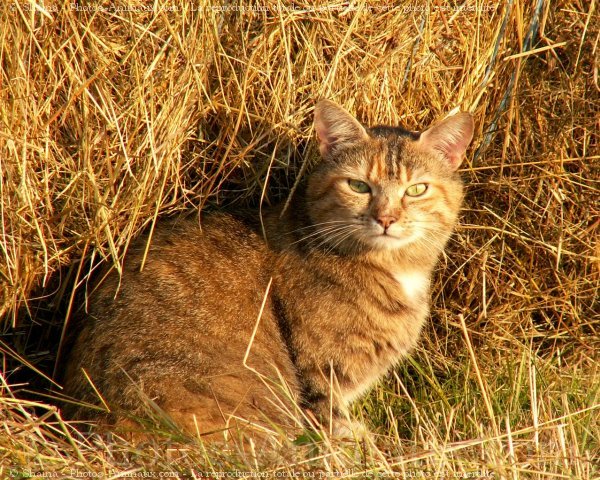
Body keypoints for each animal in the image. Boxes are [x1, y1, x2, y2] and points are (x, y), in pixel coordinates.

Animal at [61, 99, 474, 440]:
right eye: (358, 186)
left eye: (417, 189)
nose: (385, 218)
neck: (394, 269)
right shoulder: (318, 373)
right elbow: (330, 421)